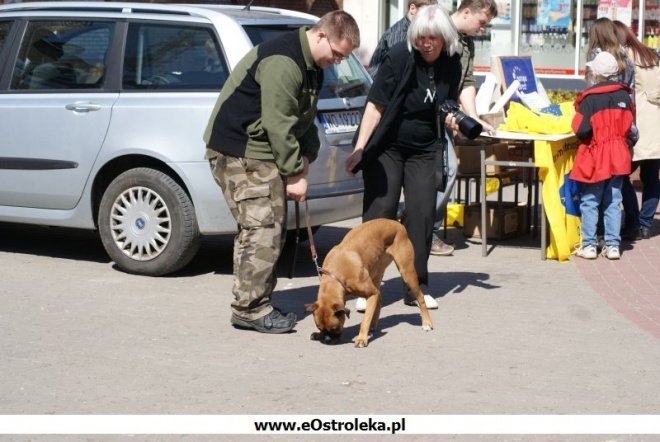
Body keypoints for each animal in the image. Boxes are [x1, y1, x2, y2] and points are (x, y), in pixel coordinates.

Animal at [306, 219, 436, 348]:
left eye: (334, 328)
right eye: (320, 328)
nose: (327, 340)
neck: (335, 275)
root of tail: (397, 224)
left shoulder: (371, 293)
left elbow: (365, 321)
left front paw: (361, 338)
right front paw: (318, 335)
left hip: (407, 273)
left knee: (420, 297)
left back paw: (427, 322)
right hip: (376, 273)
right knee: (379, 299)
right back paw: (373, 325)